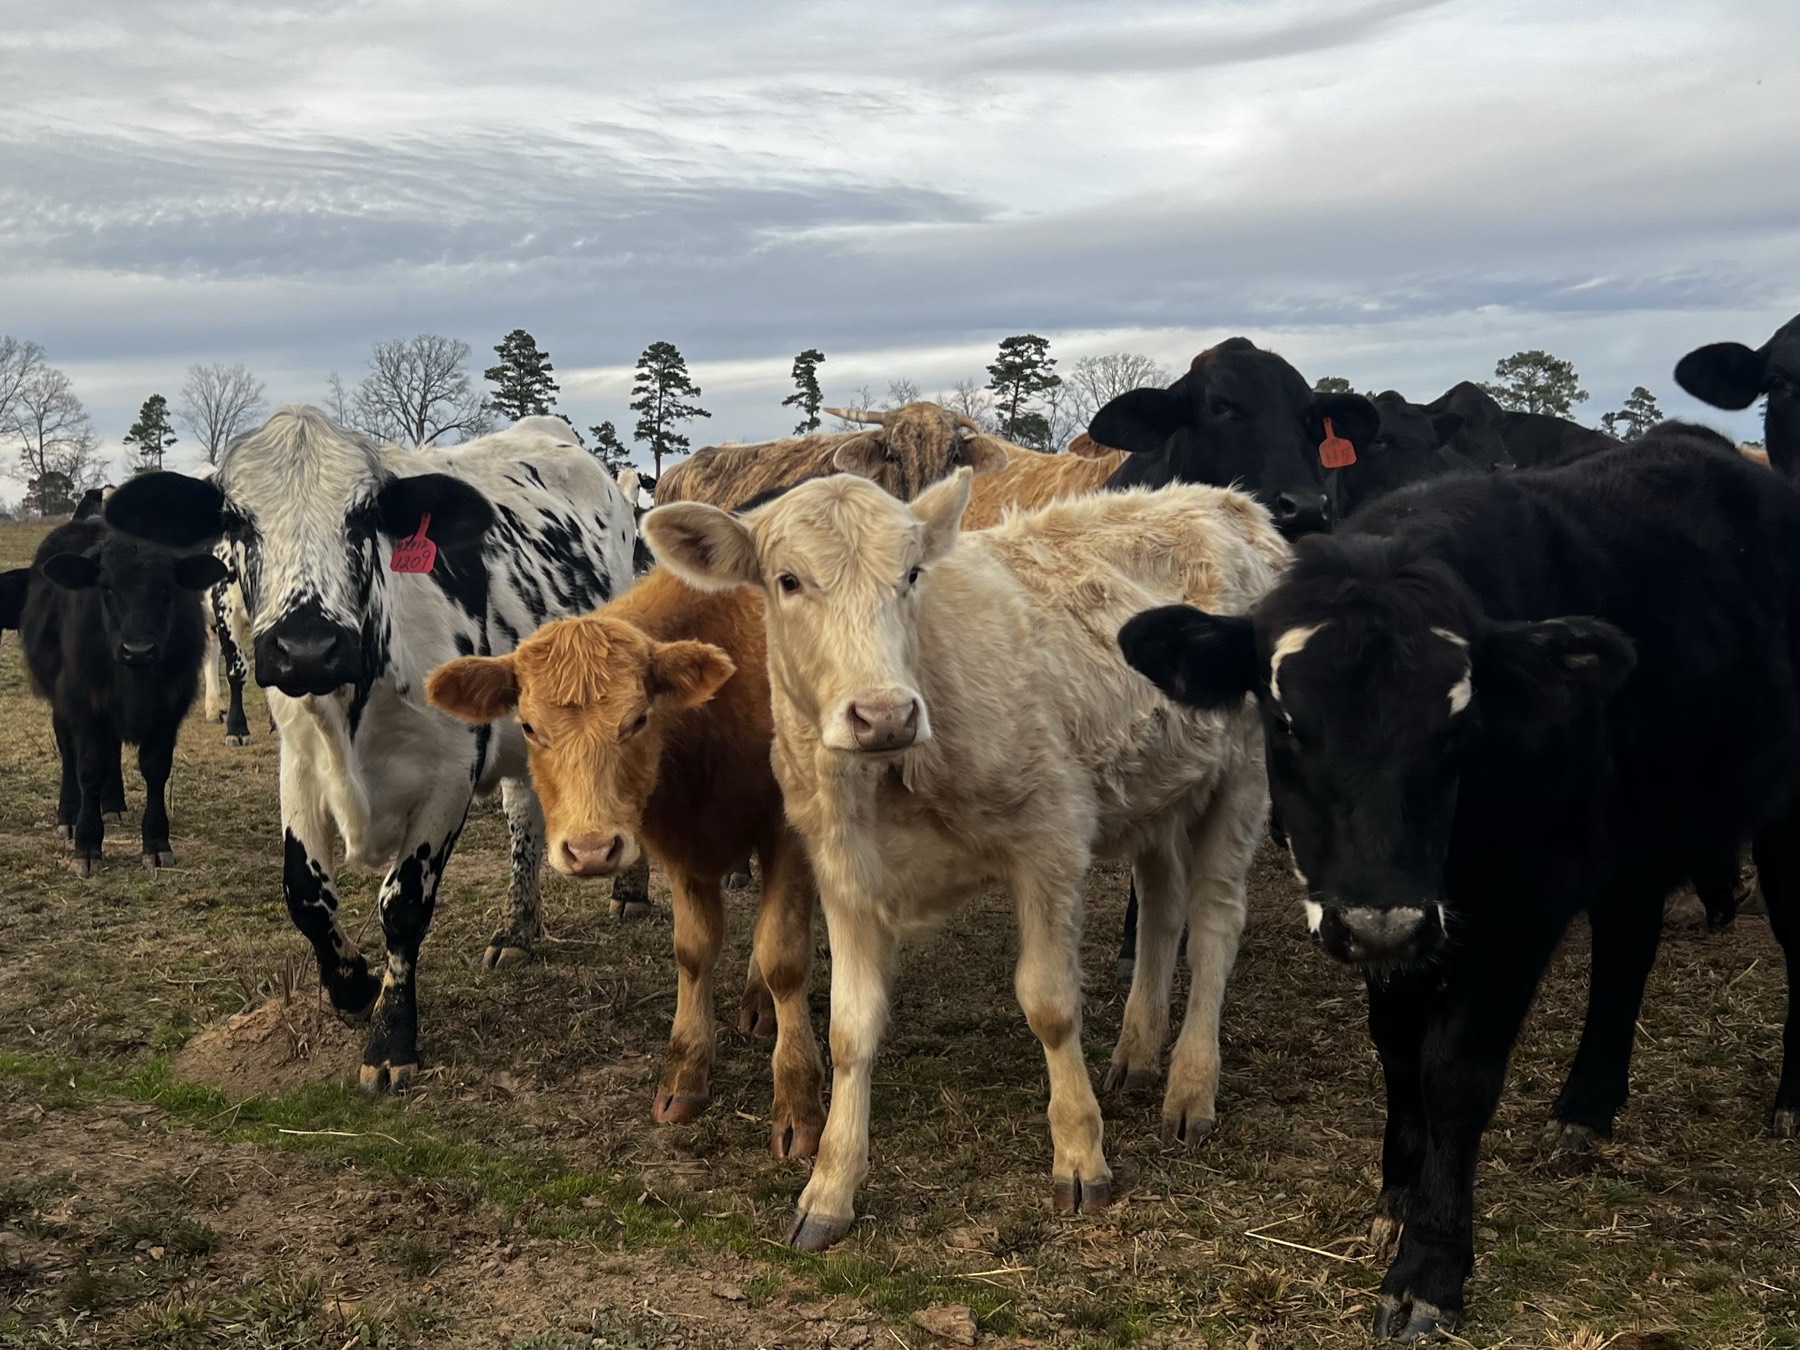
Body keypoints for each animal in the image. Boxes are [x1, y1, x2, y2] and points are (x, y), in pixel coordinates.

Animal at [1, 519, 225, 875]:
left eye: (167, 588)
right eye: (105, 587)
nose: (138, 650)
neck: (134, 679)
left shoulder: (170, 706)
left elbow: (155, 768)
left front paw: (156, 842)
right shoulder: (83, 702)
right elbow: (90, 767)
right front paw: (87, 843)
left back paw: (114, 804)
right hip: (62, 705)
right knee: (69, 754)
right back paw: (69, 816)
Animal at [103, 407, 636, 1093]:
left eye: (362, 517)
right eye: (237, 520)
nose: (306, 646)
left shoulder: (450, 773)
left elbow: (402, 904)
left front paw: (391, 1039)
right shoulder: (300, 762)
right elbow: (304, 892)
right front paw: (352, 985)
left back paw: (630, 893)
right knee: (524, 812)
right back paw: (518, 929)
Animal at [425, 568, 824, 1157]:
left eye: (637, 719)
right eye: (528, 726)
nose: (591, 849)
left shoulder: (790, 829)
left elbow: (783, 956)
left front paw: (797, 1101)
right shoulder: (682, 845)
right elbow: (694, 951)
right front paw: (685, 1073)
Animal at [647, 469, 1289, 1251]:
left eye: (911, 574)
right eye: (787, 580)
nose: (884, 714)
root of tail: (1226, 498)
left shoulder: (1050, 837)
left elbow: (1049, 1004)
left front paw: (1080, 1156)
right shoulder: (843, 871)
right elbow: (850, 1030)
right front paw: (829, 1186)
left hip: (1243, 771)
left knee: (1216, 922)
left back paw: (1191, 1087)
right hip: (1157, 785)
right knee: (1163, 909)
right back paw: (1137, 1055)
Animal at [1117, 425, 1800, 1340]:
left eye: (1458, 727)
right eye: (1286, 720)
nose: (1380, 924)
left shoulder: (1521, 899)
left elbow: (1455, 1072)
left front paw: (1430, 1267)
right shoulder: (1395, 916)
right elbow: (1398, 1050)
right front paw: (1398, 1198)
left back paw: (1790, 1098)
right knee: (1628, 943)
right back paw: (1586, 1106)